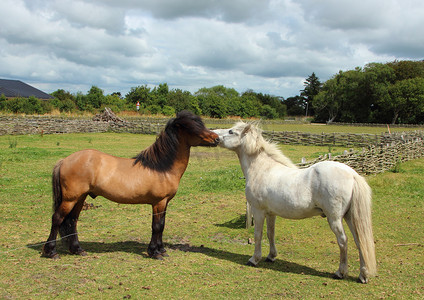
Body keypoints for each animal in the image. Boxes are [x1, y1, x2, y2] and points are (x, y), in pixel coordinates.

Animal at [42, 111, 219, 258]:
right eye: (193, 127)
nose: (216, 138)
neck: (162, 167)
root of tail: (64, 160)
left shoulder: (165, 202)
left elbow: (162, 225)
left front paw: (161, 249)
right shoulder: (158, 203)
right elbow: (156, 226)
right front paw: (154, 252)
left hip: (80, 198)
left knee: (72, 221)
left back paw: (77, 250)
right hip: (70, 199)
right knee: (57, 218)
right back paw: (51, 252)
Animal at [214, 122, 376, 284]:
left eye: (231, 131)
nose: (214, 135)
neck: (262, 169)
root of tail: (352, 174)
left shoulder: (258, 210)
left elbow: (258, 235)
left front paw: (254, 259)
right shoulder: (271, 213)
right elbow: (270, 233)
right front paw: (271, 256)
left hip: (335, 219)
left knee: (343, 241)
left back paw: (340, 273)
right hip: (349, 217)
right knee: (360, 241)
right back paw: (363, 275)